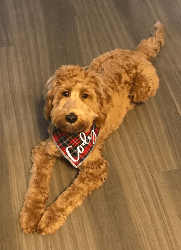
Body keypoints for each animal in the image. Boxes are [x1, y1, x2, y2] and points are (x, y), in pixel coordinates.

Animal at [19, 21, 164, 234]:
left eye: (85, 95)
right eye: (64, 93)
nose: (71, 117)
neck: (72, 139)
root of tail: (137, 53)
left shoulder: (96, 168)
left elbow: (69, 196)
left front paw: (49, 218)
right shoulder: (45, 150)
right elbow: (37, 184)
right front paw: (30, 215)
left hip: (143, 88)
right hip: (96, 63)